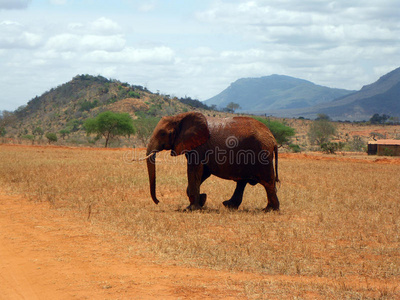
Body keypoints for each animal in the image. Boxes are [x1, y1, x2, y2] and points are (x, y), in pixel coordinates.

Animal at [145, 111, 280, 212]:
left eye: (163, 133)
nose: (158, 201)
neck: (180, 117)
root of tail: (273, 140)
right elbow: (203, 172)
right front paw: (201, 200)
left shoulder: (199, 147)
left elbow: (194, 170)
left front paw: (191, 208)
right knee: (243, 181)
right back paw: (230, 206)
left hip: (261, 154)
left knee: (267, 181)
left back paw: (269, 210)